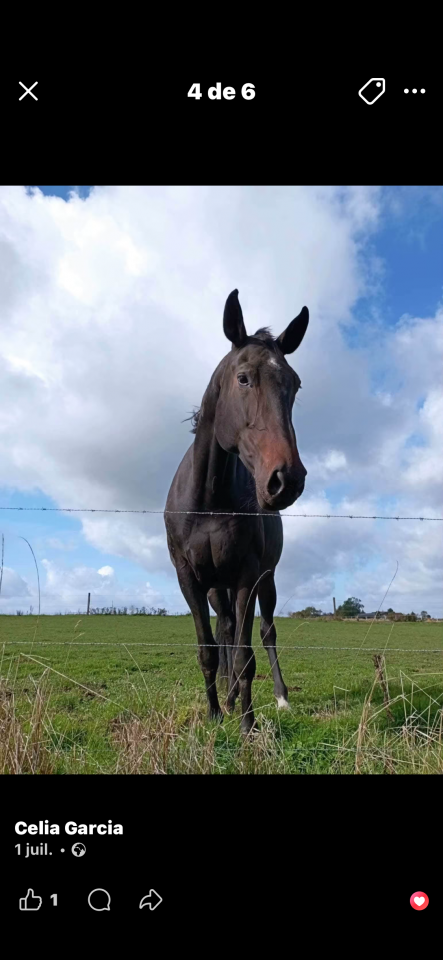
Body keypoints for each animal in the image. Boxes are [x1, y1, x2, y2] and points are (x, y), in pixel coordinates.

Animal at [165, 289, 309, 734]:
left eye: (295, 385)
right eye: (243, 378)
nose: (286, 479)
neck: (209, 500)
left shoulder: (248, 574)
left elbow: (247, 655)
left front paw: (247, 725)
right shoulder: (190, 579)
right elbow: (209, 649)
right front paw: (214, 714)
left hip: (267, 581)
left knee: (264, 632)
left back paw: (276, 697)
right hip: (217, 587)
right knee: (227, 630)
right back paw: (226, 699)